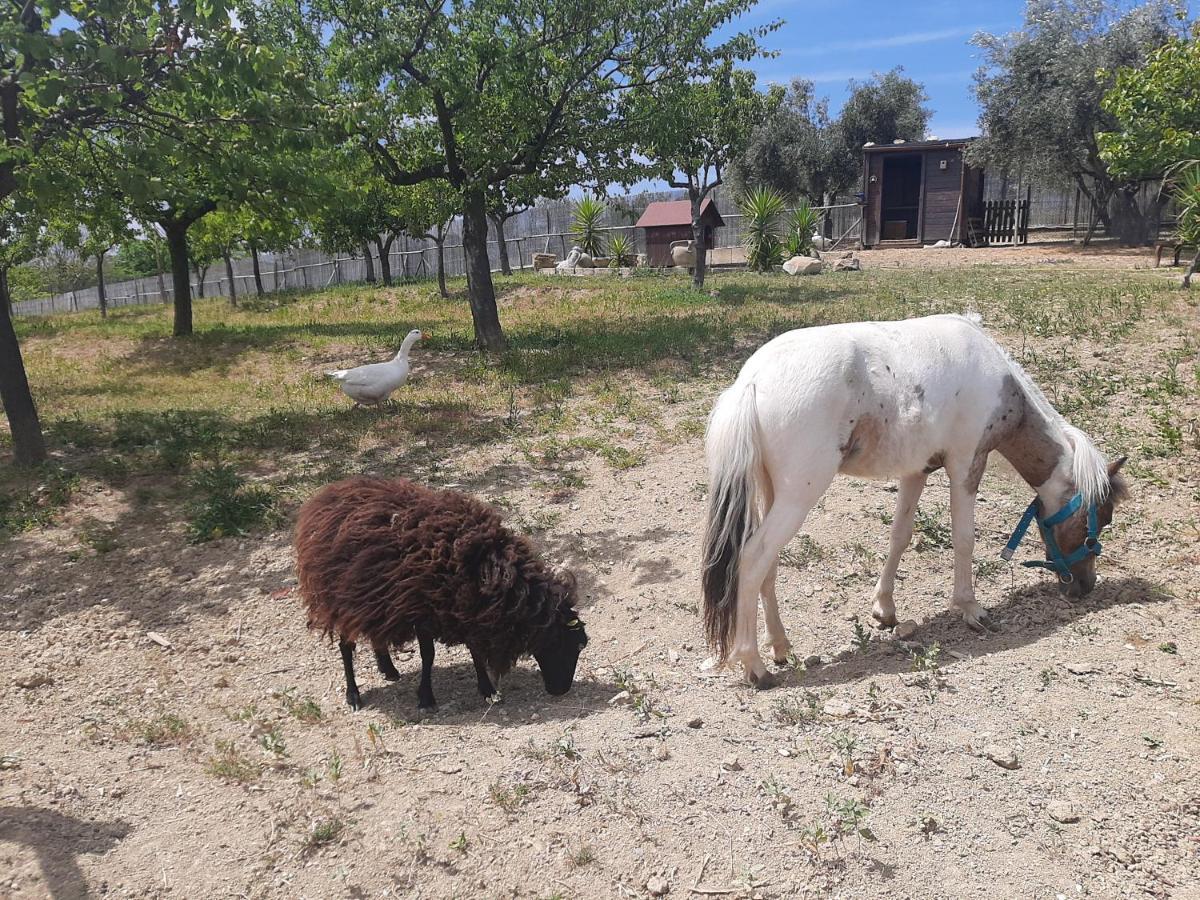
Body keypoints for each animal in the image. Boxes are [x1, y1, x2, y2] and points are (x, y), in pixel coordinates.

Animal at [295, 480, 585, 710]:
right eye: (576, 644)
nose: (561, 690)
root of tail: (322, 501)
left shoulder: (466, 609)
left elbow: (475, 650)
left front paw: (488, 690)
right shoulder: (426, 611)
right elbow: (429, 655)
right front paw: (426, 698)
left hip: (371, 598)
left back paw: (388, 669)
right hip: (339, 598)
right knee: (346, 646)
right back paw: (353, 695)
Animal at [700, 314, 1123, 686]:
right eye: (1099, 520)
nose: (1085, 586)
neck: (999, 380)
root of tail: (752, 381)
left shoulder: (916, 471)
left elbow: (899, 536)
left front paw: (885, 609)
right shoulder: (966, 465)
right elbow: (964, 539)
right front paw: (971, 608)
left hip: (774, 492)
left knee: (767, 565)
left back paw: (780, 647)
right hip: (798, 497)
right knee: (753, 558)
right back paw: (755, 667)